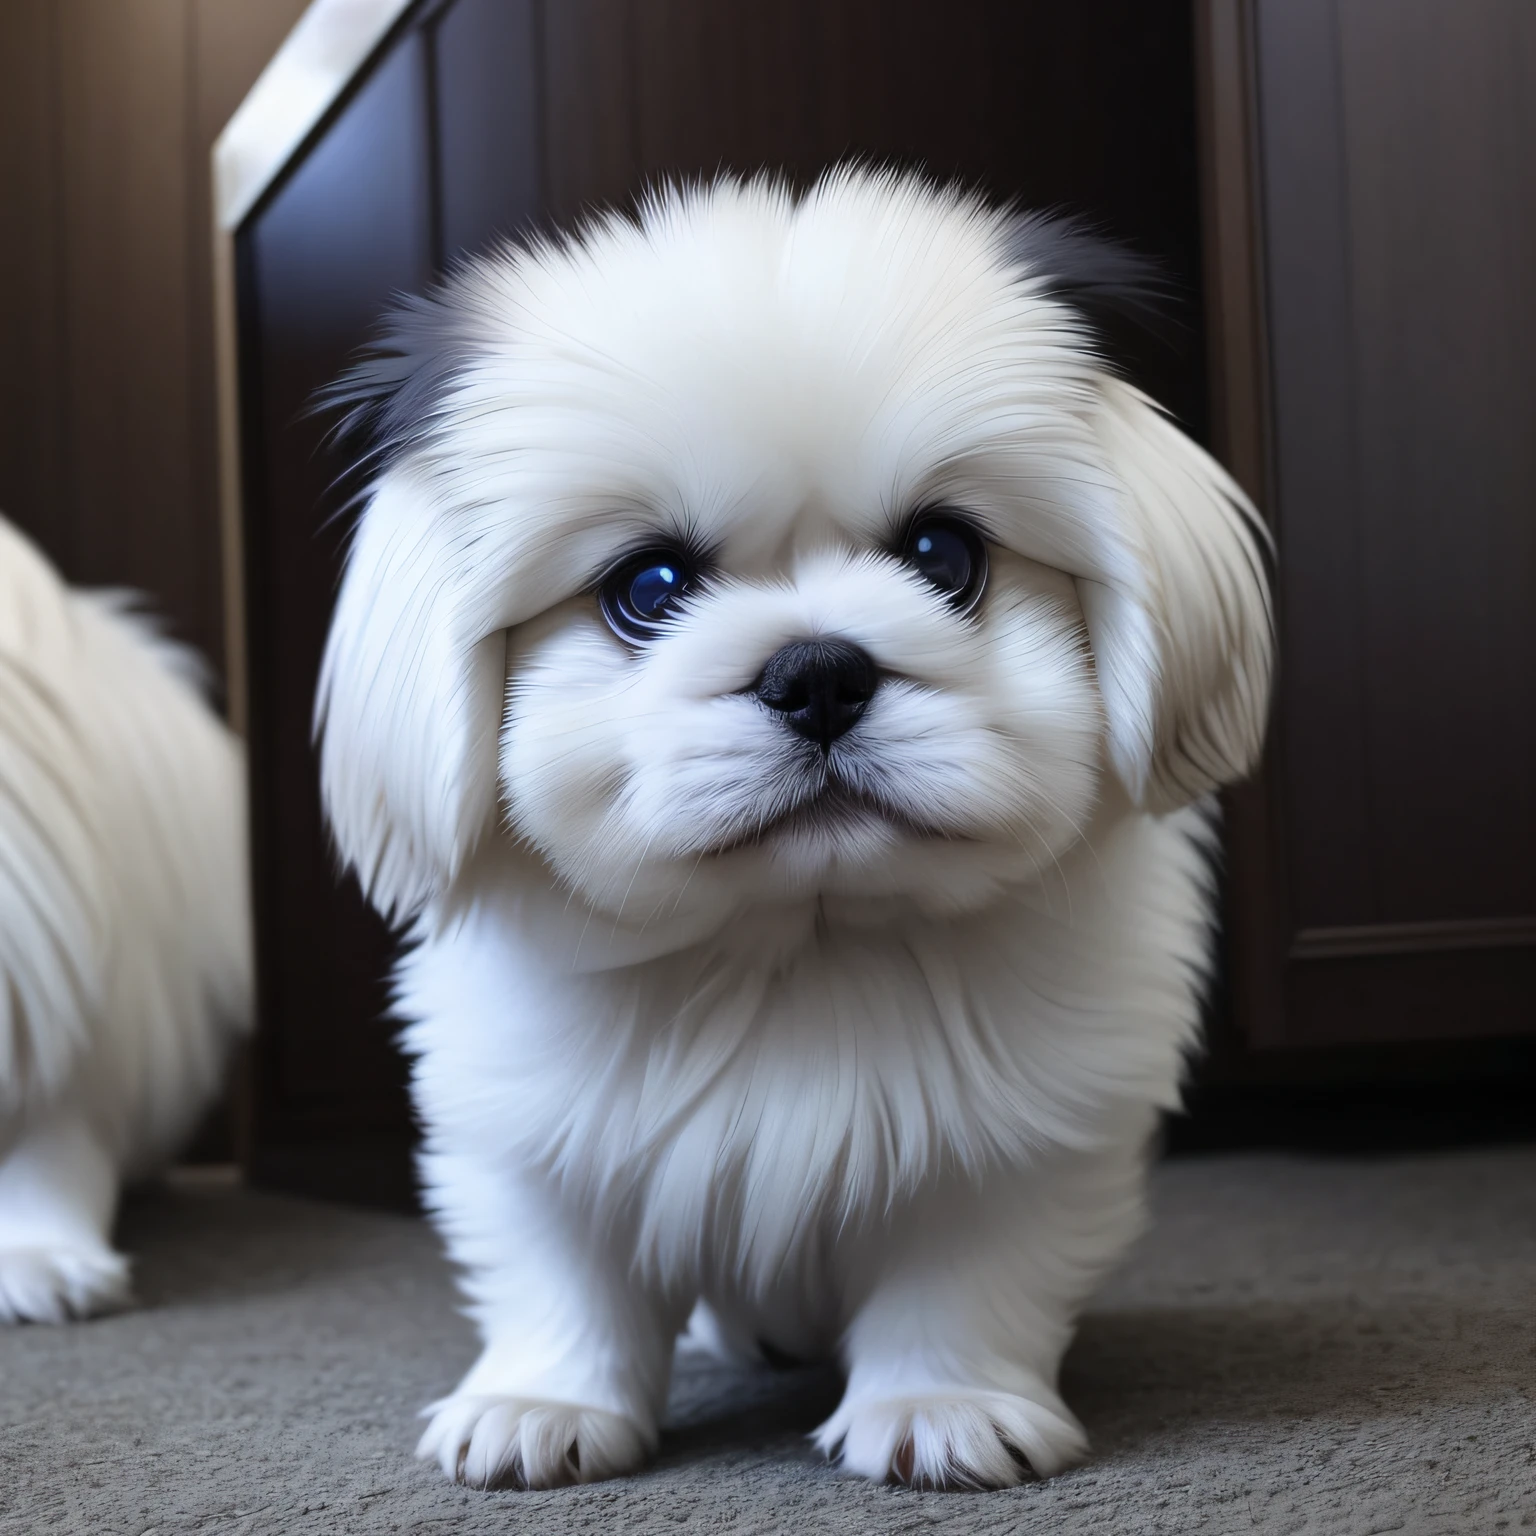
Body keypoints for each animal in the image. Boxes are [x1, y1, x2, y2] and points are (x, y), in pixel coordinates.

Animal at [314, 168, 1271, 1486]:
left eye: (943, 554)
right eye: (648, 589)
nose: (817, 672)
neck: (798, 953)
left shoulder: (1021, 1151)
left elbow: (963, 1285)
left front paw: (940, 1410)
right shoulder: (534, 1151)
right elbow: (565, 1287)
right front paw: (541, 1408)